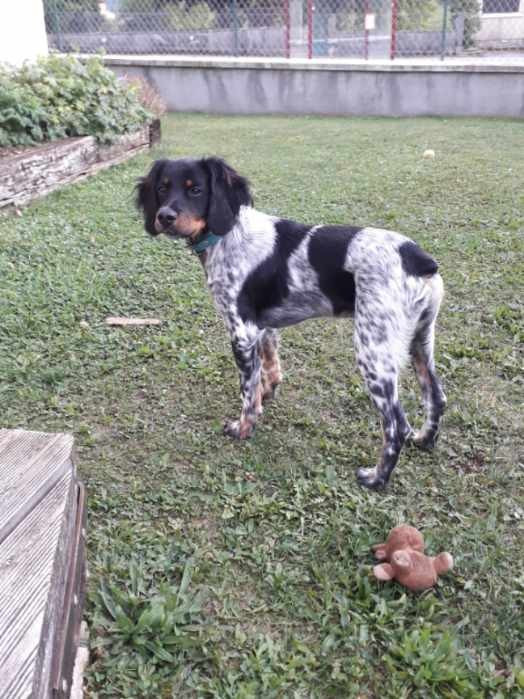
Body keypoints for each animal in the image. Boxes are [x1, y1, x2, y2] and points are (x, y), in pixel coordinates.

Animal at [136, 157, 446, 489]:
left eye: (195, 189)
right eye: (162, 188)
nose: (164, 216)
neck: (229, 235)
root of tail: (417, 258)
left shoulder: (241, 331)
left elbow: (247, 391)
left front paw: (243, 428)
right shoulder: (263, 327)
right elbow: (269, 370)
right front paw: (266, 396)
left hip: (373, 352)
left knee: (396, 425)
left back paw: (376, 478)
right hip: (420, 340)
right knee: (437, 398)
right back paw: (424, 440)